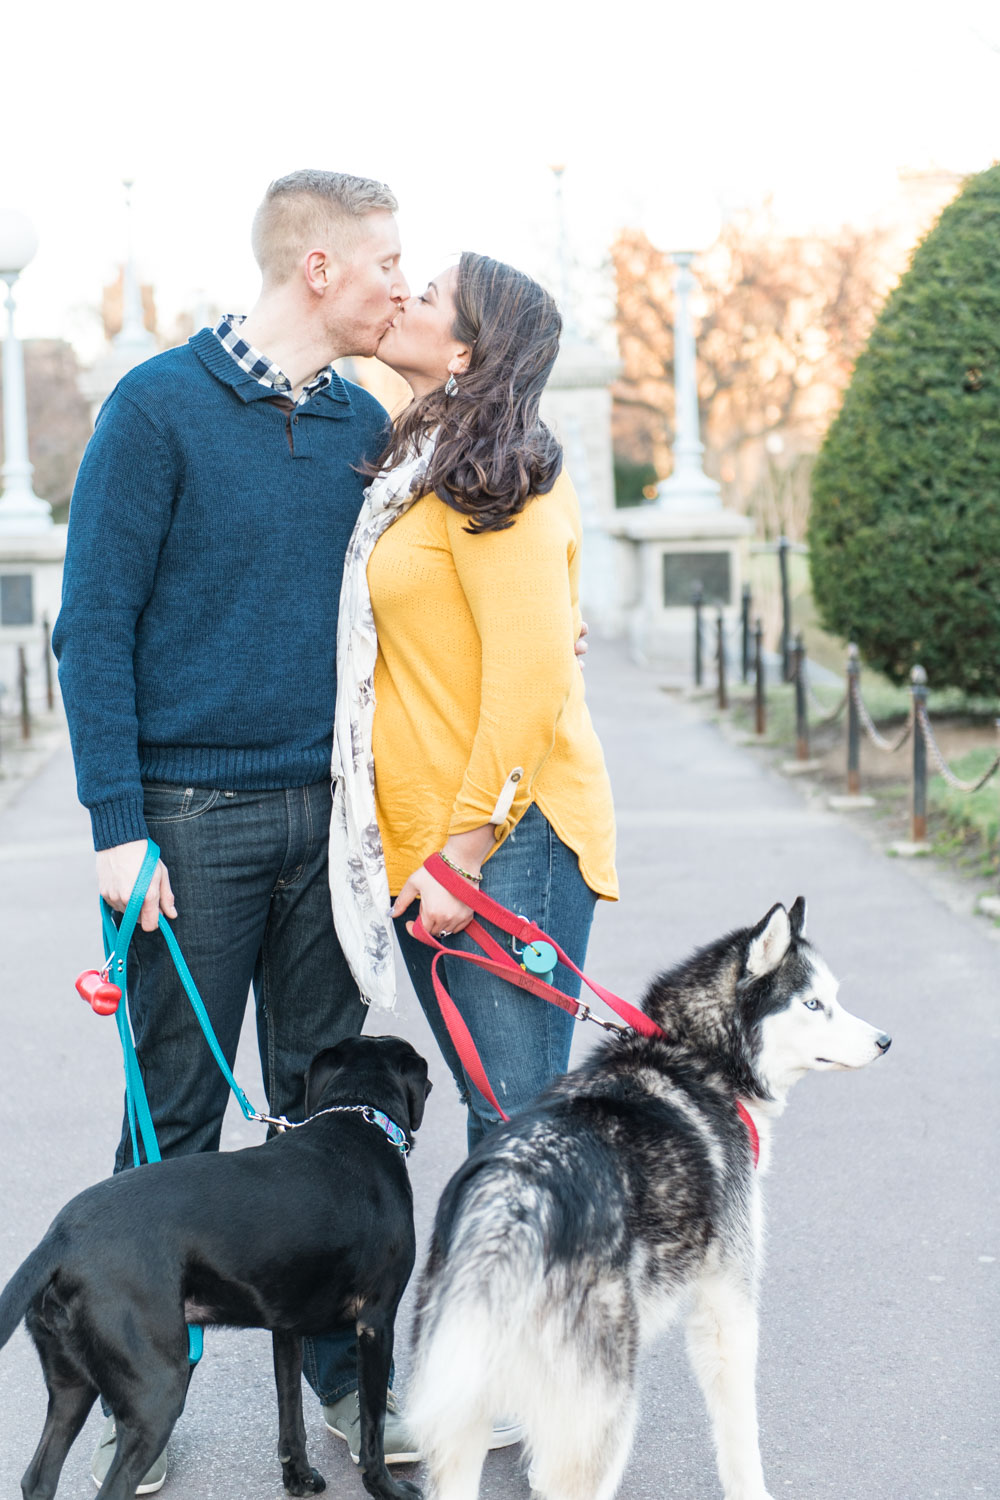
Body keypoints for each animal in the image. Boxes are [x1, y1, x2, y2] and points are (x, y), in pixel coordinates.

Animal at [0, 1032, 425, 1500]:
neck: (359, 1119)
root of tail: (59, 1240)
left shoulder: (286, 1329)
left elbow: (290, 1414)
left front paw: (298, 1479)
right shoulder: (376, 1322)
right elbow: (372, 1427)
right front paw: (387, 1488)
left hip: (71, 1385)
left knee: (37, 1479)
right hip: (156, 1393)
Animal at [407, 900, 893, 1500]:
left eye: (834, 997)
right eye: (812, 1004)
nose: (884, 1041)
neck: (697, 1054)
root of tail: (513, 1200)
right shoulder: (726, 1304)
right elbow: (740, 1434)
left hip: (464, 1411)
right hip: (605, 1416)